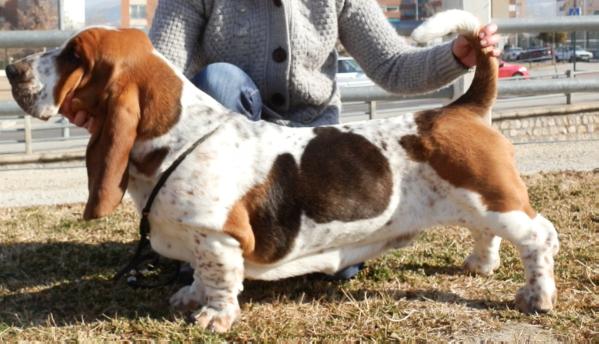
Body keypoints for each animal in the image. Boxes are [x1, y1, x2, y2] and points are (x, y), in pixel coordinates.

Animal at [5, 10, 556, 332]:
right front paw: (188, 297)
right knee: (488, 234)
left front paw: (212, 317)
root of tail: (464, 106)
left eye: (75, 54)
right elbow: (199, 275)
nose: (12, 69)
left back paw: (536, 296)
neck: (180, 135)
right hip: (479, 203)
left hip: (497, 202)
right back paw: (480, 264)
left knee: (539, 238)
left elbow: (220, 277)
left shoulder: (218, 237)